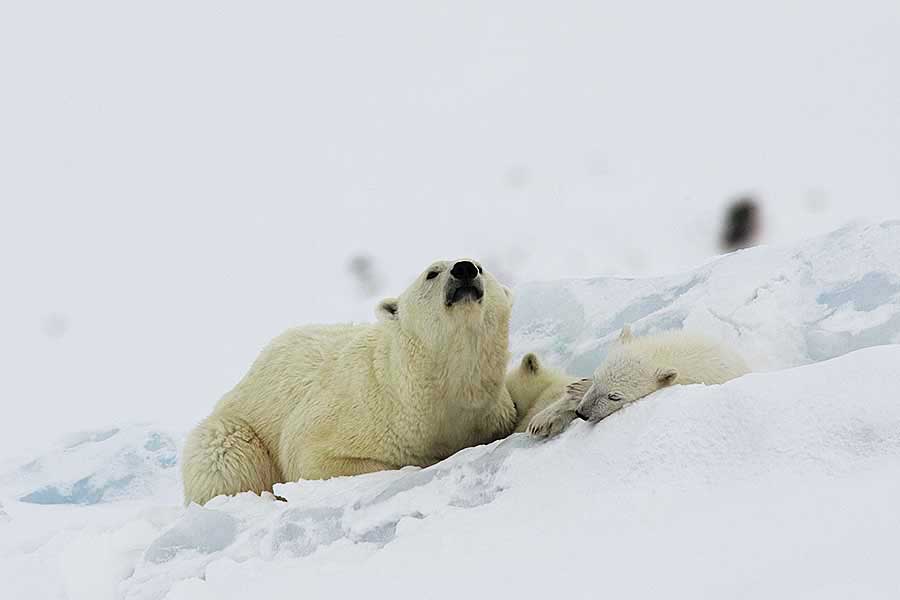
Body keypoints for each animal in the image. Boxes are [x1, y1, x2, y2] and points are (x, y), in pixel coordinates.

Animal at [180, 258, 516, 506]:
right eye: (432, 272)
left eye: (481, 267)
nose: (464, 268)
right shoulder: (356, 411)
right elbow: (311, 457)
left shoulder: (491, 414)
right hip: (237, 430)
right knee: (225, 461)